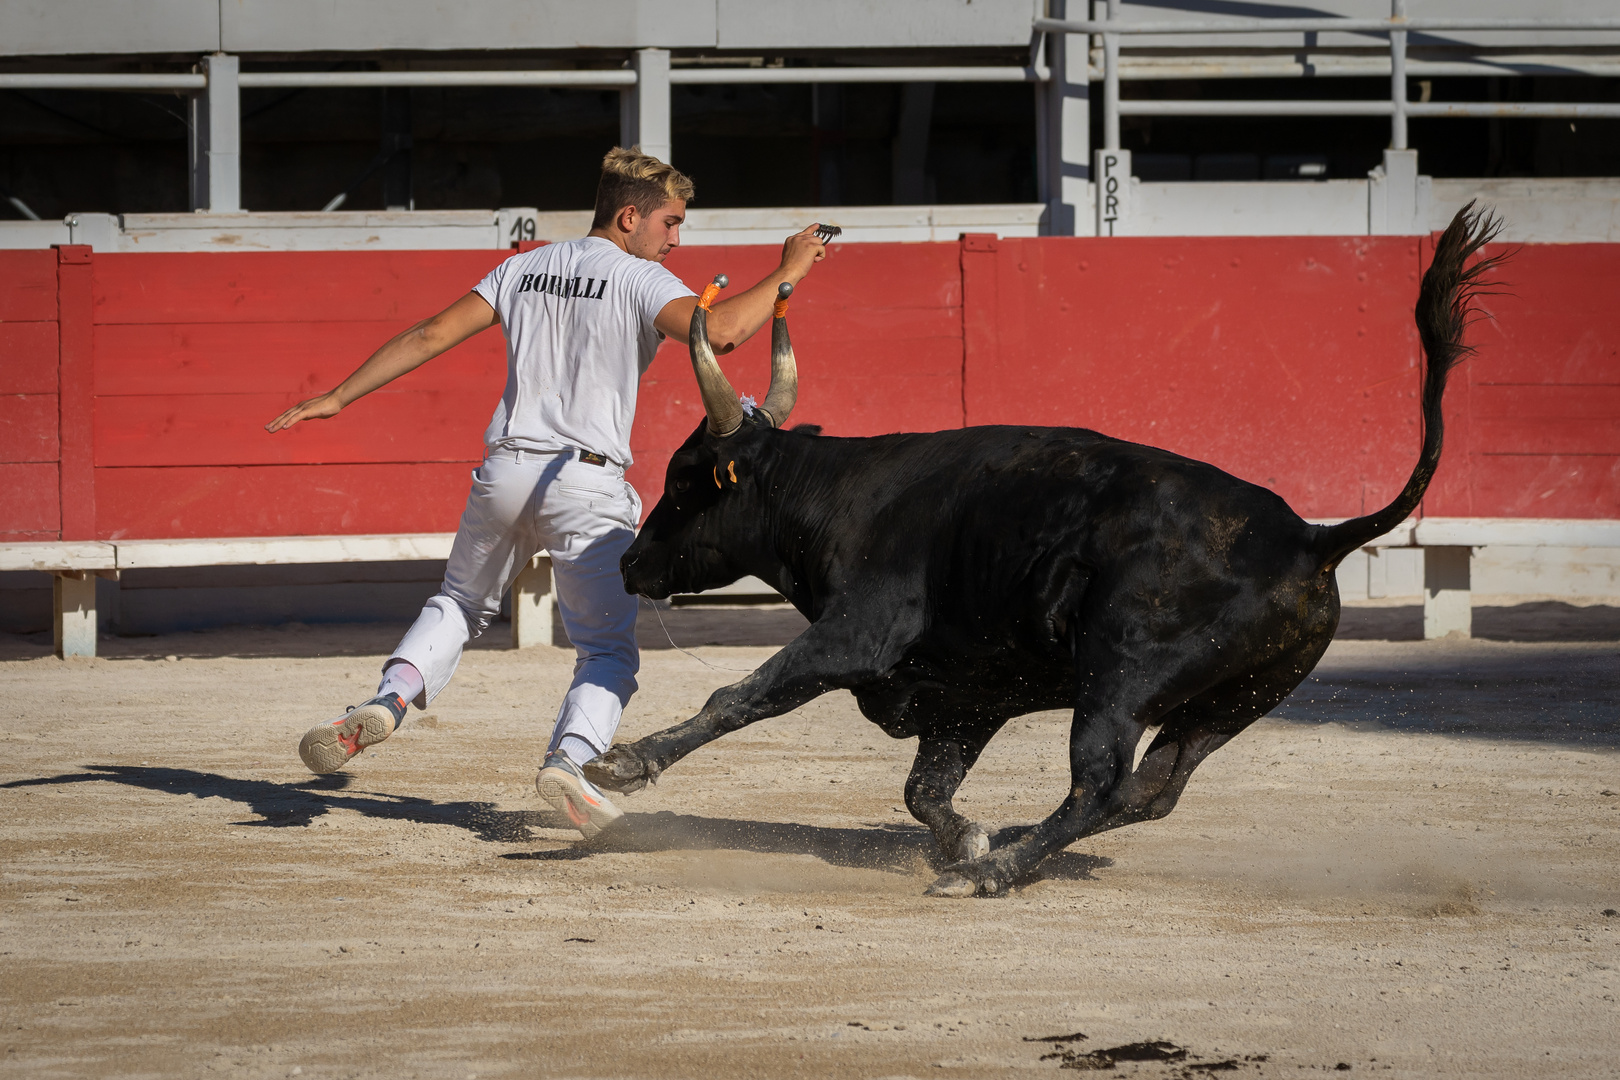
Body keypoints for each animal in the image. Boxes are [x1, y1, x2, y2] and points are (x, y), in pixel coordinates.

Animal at [589, 207, 1496, 900]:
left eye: (684, 481)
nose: (629, 566)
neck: (837, 494)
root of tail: (1311, 536)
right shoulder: (971, 692)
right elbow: (924, 789)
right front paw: (968, 835)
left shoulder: (857, 634)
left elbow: (742, 694)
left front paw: (625, 762)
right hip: (1233, 701)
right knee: (1154, 787)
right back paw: (1012, 845)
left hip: (1119, 673)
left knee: (1101, 780)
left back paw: (992, 873)